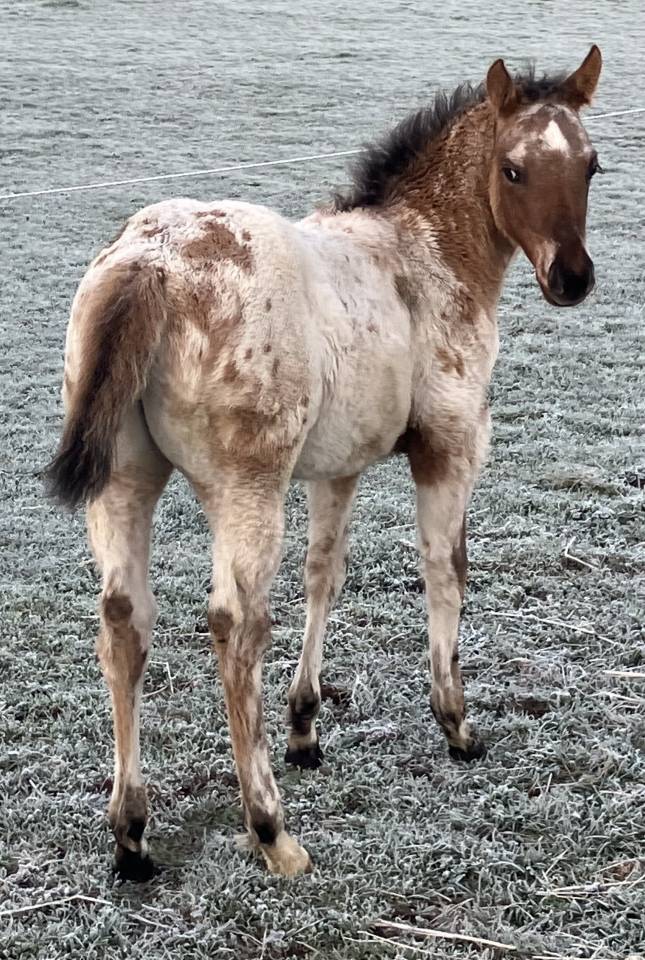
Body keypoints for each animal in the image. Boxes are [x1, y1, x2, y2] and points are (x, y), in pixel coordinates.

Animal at [45, 46, 603, 879]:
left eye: (592, 166)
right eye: (512, 170)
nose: (571, 278)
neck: (421, 250)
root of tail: (152, 262)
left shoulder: (338, 466)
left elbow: (324, 573)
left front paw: (305, 726)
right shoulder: (451, 447)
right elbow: (446, 569)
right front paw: (456, 723)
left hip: (121, 482)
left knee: (123, 621)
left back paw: (132, 833)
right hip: (247, 488)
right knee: (235, 625)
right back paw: (270, 828)